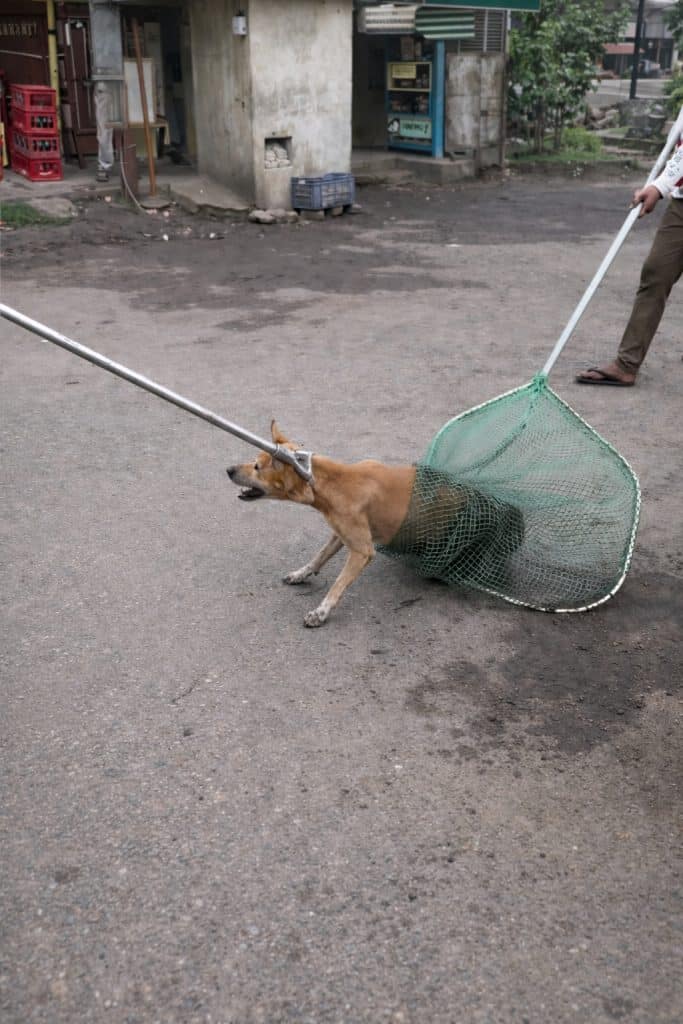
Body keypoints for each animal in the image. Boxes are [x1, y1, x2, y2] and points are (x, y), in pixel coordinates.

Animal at [227, 422, 525, 627]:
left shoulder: (362, 550)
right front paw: (302, 573)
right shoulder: (340, 533)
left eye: (256, 466)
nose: (228, 470)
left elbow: (338, 584)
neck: (334, 482)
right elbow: (319, 556)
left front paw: (321, 612)